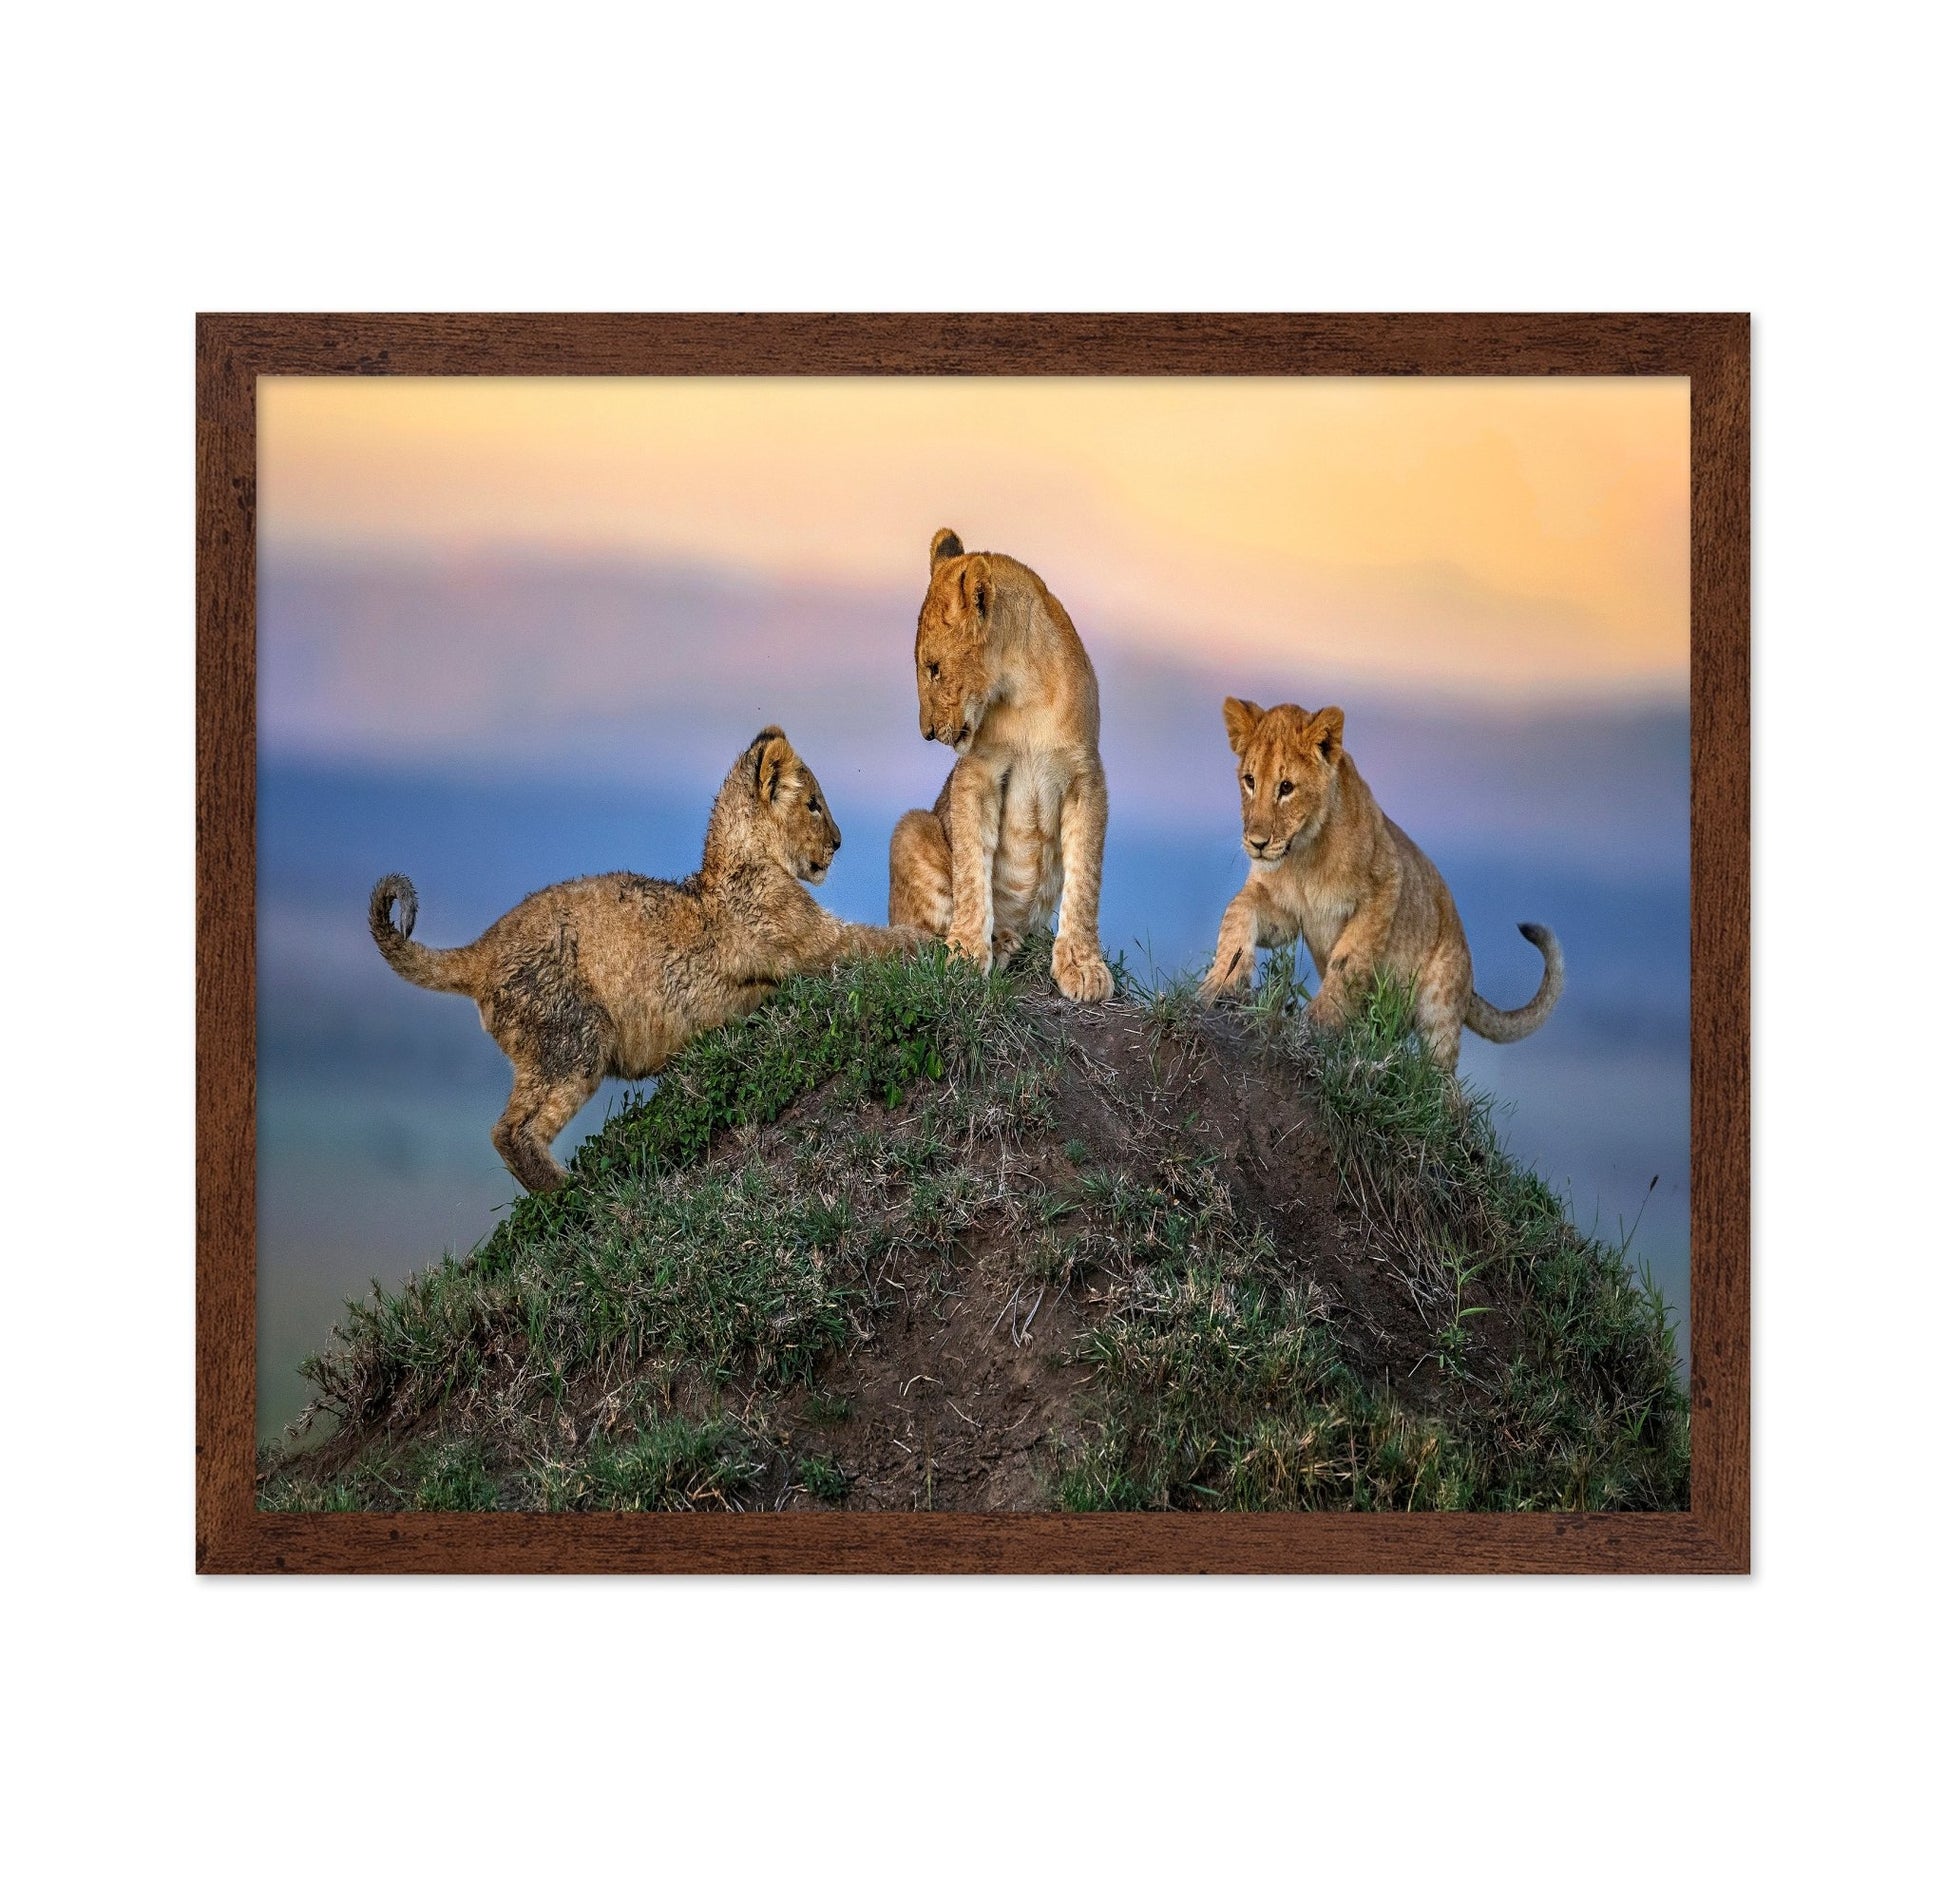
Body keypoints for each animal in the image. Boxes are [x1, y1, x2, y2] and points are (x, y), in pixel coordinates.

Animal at [370, 727, 929, 1193]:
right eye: (813, 804)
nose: (838, 841)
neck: (743, 860)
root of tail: (483, 949)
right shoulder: (816, 944)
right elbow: (878, 942)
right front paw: (932, 944)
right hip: (574, 1039)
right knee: (512, 1131)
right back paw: (573, 1195)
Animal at [887, 528, 1113, 1002]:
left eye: (933, 668)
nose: (926, 733)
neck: (1024, 691)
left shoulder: (1086, 776)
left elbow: (1085, 879)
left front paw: (1083, 967)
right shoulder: (977, 773)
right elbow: (973, 871)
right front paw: (967, 954)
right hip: (912, 827)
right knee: (915, 934)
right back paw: (997, 940)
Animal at [1197, 697, 1564, 1073]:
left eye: (1286, 787)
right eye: (1250, 781)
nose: (1257, 843)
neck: (1303, 855)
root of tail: (1470, 981)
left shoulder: (1385, 885)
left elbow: (1349, 959)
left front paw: (1318, 1023)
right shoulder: (1285, 914)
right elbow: (1237, 910)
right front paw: (1219, 984)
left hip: (1440, 1006)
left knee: (1442, 1078)